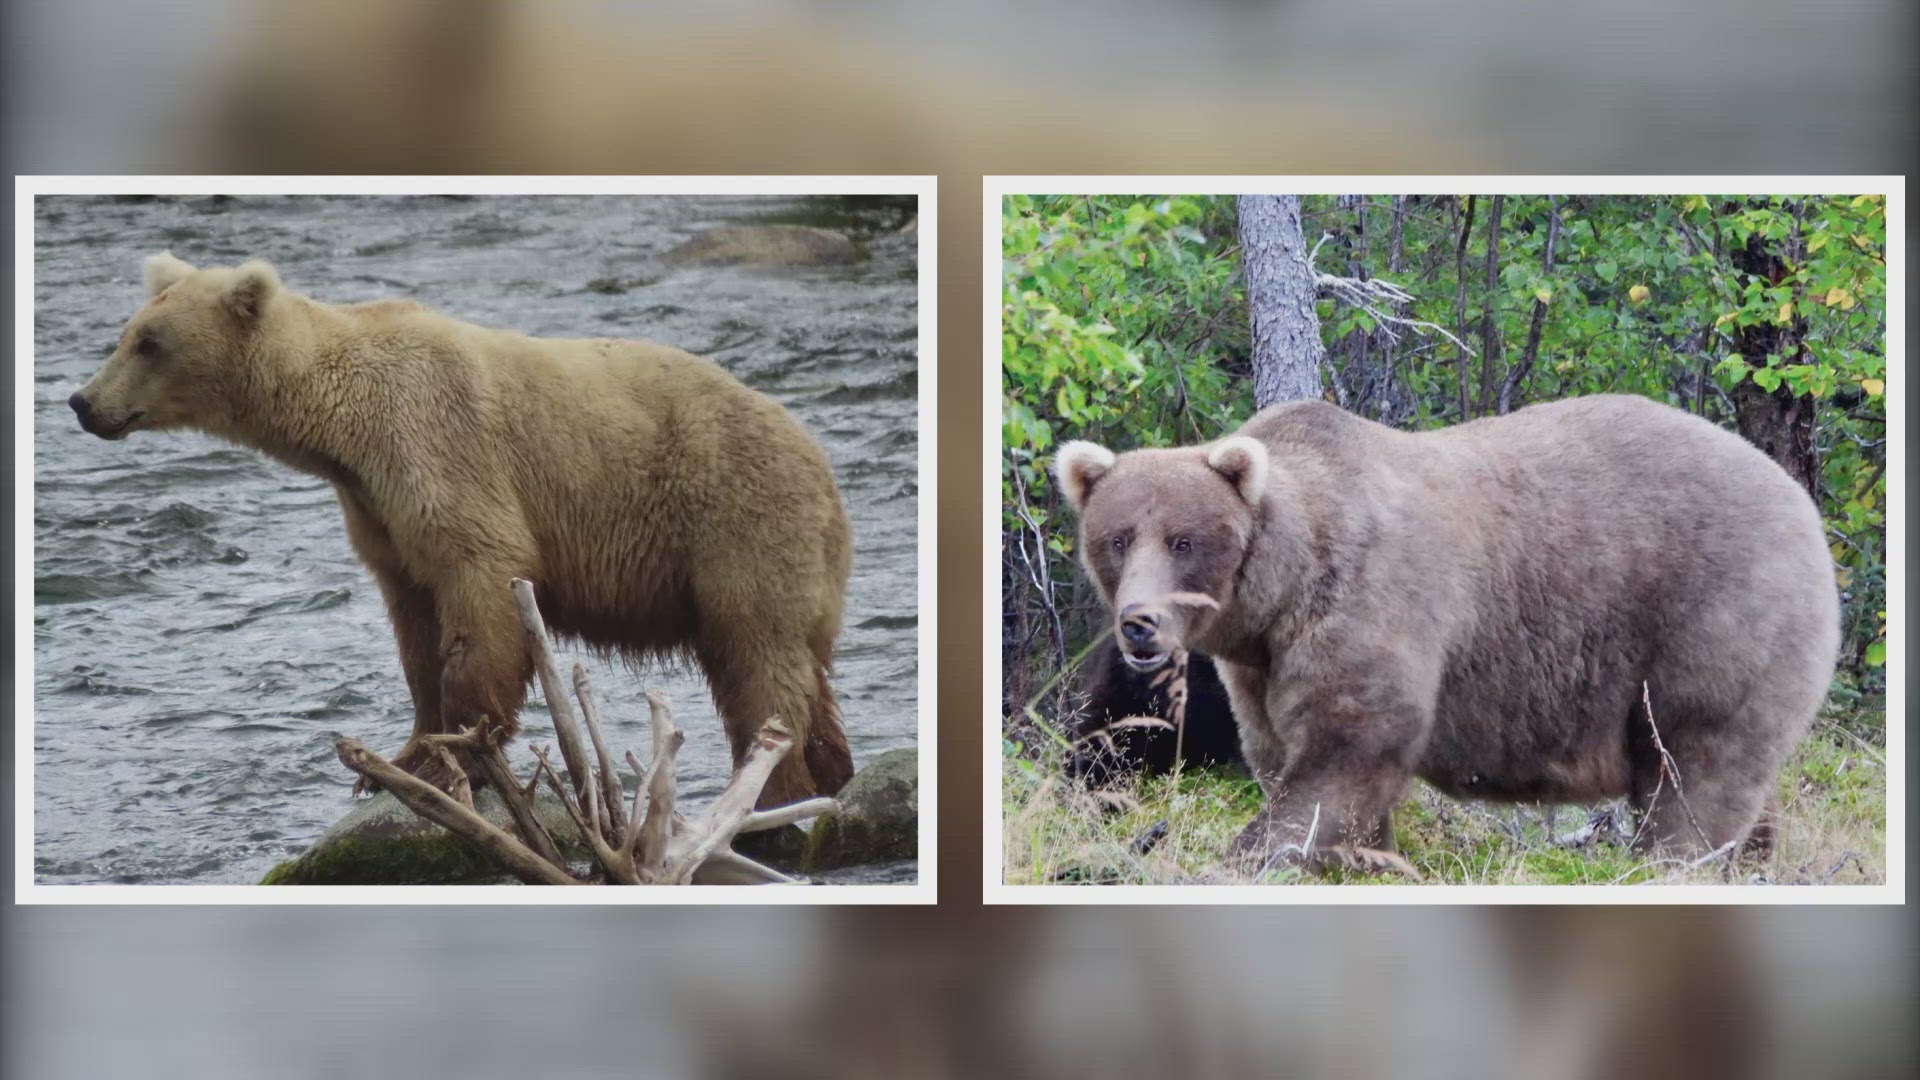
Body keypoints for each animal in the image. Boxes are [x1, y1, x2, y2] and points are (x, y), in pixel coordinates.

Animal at [72, 251, 856, 803]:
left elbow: (479, 588)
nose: (83, 402)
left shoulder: (437, 449)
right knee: (801, 669)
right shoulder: (376, 511)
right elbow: (415, 626)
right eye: (125, 333)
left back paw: (774, 786)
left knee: (756, 657)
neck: (342, 429)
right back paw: (831, 769)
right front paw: (395, 758)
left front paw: (456, 755)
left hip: (738, 522)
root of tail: (822, 465)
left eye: (149, 343)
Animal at [1059, 390, 1835, 868]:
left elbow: (1347, 746)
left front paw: (1259, 852)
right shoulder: (1258, 664)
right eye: (1118, 539)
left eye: (1185, 540)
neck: (1279, 591)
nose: (1140, 625)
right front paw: (1363, 857)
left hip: (1713, 617)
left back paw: (1671, 860)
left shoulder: (1368, 599)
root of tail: (1800, 498)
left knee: (1694, 770)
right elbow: (1282, 750)